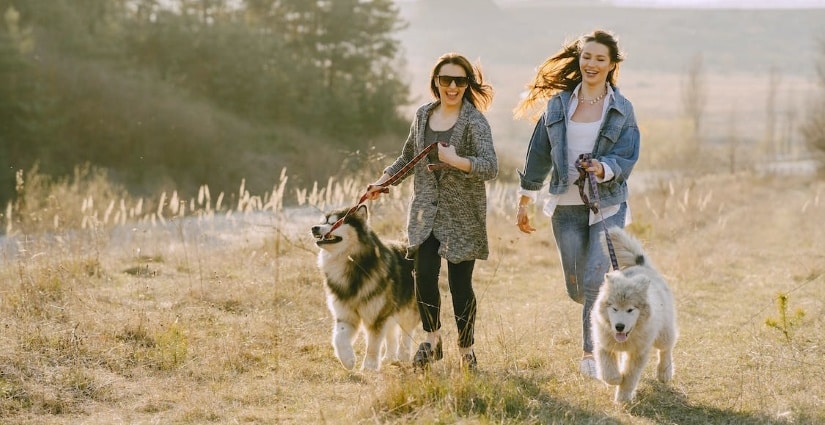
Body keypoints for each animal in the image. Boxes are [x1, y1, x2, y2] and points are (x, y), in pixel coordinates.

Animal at [312, 204, 422, 370]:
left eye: (335, 222)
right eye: (323, 221)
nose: (314, 228)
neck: (353, 264)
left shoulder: (376, 315)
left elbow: (373, 344)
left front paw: (369, 367)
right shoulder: (346, 314)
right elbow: (338, 338)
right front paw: (348, 360)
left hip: (406, 309)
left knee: (406, 332)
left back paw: (403, 355)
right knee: (391, 333)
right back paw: (389, 357)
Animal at [588, 227, 680, 402]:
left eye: (630, 310)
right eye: (614, 309)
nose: (619, 326)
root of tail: (642, 265)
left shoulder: (639, 353)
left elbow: (630, 377)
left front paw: (623, 398)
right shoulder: (603, 344)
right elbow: (608, 371)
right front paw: (616, 379)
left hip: (663, 332)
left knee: (666, 348)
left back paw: (664, 373)